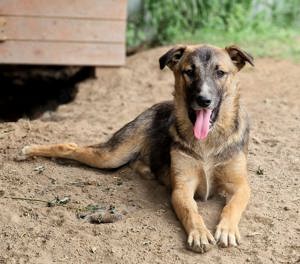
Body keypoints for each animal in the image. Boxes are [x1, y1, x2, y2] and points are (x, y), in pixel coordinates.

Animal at [18, 43, 253, 254]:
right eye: (189, 72)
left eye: (220, 72)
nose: (203, 100)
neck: (207, 141)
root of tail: (155, 106)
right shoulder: (182, 189)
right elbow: (191, 211)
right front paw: (200, 233)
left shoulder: (240, 186)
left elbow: (232, 205)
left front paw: (227, 230)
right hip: (111, 155)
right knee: (71, 146)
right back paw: (29, 150)